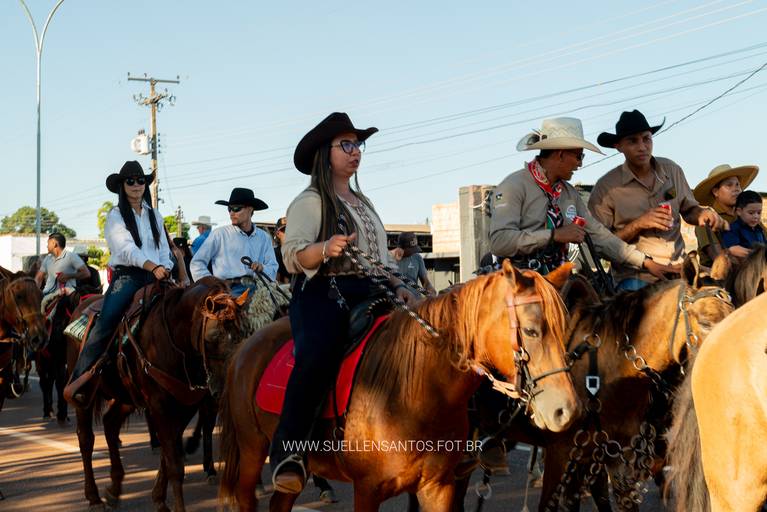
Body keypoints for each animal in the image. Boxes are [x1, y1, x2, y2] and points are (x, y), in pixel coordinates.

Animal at [68, 277, 250, 511]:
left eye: (244, 332)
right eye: (213, 336)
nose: (228, 385)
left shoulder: (184, 406)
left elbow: (168, 455)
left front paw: (159, 499)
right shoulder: (159, 406)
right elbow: (174, 464)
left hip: (127, 398)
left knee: (110, 424)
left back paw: (114, 489)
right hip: (84, 396)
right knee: (86, 439)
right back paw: (94, 497)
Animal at [218, 260, 580, 511]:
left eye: (565, 328)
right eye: (531, 330)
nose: (566, 410)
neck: (413, 391)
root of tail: (246, 346)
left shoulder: (439, 487)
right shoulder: (367, 489)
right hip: (252, 451)